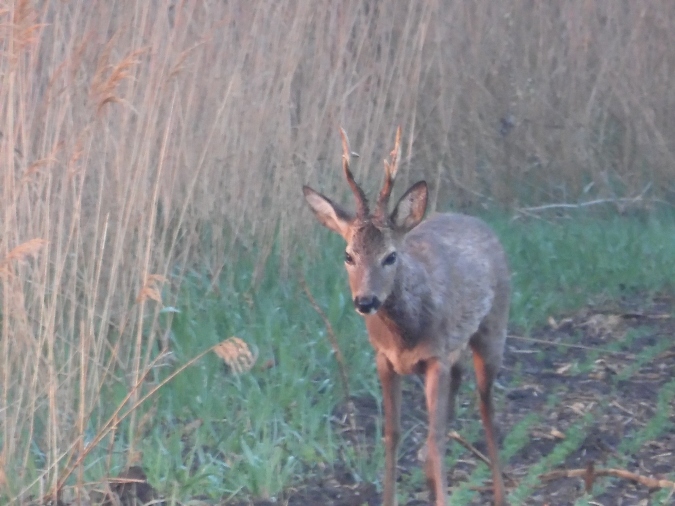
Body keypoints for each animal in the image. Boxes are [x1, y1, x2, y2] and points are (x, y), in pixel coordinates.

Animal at [302, 127, 510, 506]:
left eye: (390, 256)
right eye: (348, 255)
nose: (365, 300)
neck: (404, 336)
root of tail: (477, 221)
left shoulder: (437, 357)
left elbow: (435, 439)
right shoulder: (384, 358)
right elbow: (393, 433)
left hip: (492, 329)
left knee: (486, 408)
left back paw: (500, 494)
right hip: (458, 354)